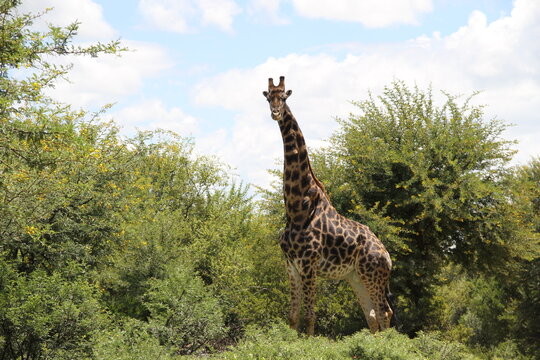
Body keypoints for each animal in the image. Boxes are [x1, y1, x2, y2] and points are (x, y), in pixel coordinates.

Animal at [262, 76, 392, 334]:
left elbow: (310, 316)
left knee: (384, 313)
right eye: (268, 97)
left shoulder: (309, 264)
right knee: (372, 315)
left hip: (373, 274)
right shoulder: (290, 265)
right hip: (356, 277)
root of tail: (388, 256)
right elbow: (293, 316)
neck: (296, 208)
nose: (275, 112)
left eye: (284, 97)